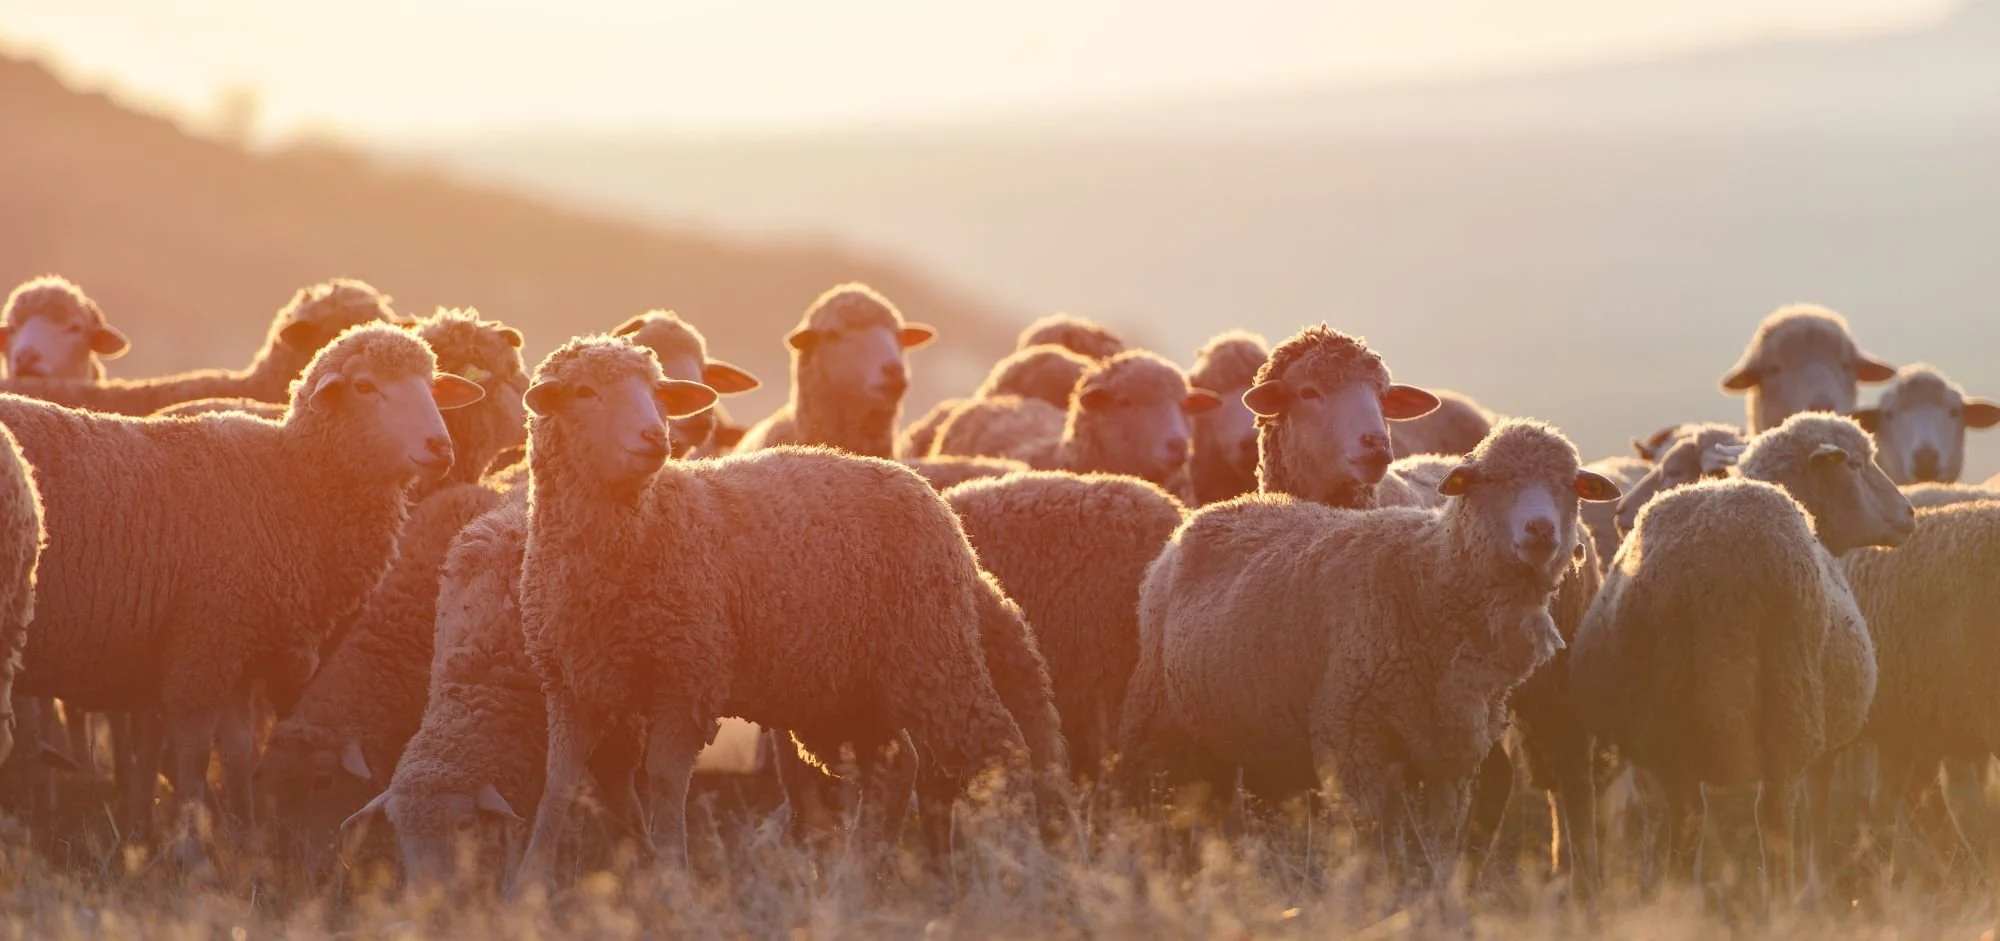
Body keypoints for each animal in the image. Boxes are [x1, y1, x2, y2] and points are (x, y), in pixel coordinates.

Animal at [2, 322, 486, 865]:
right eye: (365, 386)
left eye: (432, 386)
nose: (439, 446)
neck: (288, 480)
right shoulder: (203, 646)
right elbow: (194, 752)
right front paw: (190, 851)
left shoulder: (239, 647)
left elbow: (235, 752)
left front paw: (244, 841)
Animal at [507, 336, 1032, 889]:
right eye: (585, 392)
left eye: (658, 394)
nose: (654, 436)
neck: (646, 525)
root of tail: (930, 496)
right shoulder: (570, 687)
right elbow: (559, 785)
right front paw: (528, 882)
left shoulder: (687, 682)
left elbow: (666, 784)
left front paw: (673, 880)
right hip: (844, 688)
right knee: (896, 766)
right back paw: (860, 873)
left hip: (931, 650)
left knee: (998, 747)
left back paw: (1018, 863)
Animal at [1127, 421, 1618, 883]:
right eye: (1493, 479)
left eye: (1570, 485)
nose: (1541, 530)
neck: (1430, 582)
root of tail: (1213, 510)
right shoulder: (1353, 744)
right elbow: (1372, 847)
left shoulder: (1451, 759)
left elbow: (1435, 847)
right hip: (1162, 720)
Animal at [1570, 413, 1915, 895]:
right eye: (1858, 463)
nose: (1909, 514)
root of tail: (1721, 585)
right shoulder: (1824, 741)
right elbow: (1819, 813)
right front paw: (1819, 884)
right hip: (1791, 701)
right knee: (1773, 817)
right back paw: (1781, 900)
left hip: (1668, 714)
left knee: (1688, 815)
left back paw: (1680, 895)